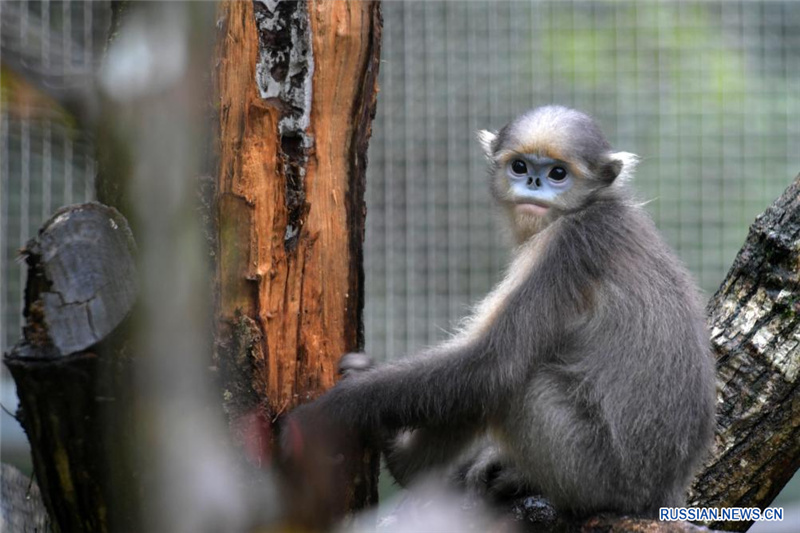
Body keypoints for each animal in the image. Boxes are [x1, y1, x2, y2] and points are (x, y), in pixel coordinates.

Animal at [284, 104, 716, 516]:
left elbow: (491, 364)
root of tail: (660, 493)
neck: (592, 207)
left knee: (512, 383)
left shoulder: (565, 248)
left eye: (558, 173)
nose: (534, 183)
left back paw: (406, 464)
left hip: (593, 473)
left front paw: (326, 414)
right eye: (520, 166)